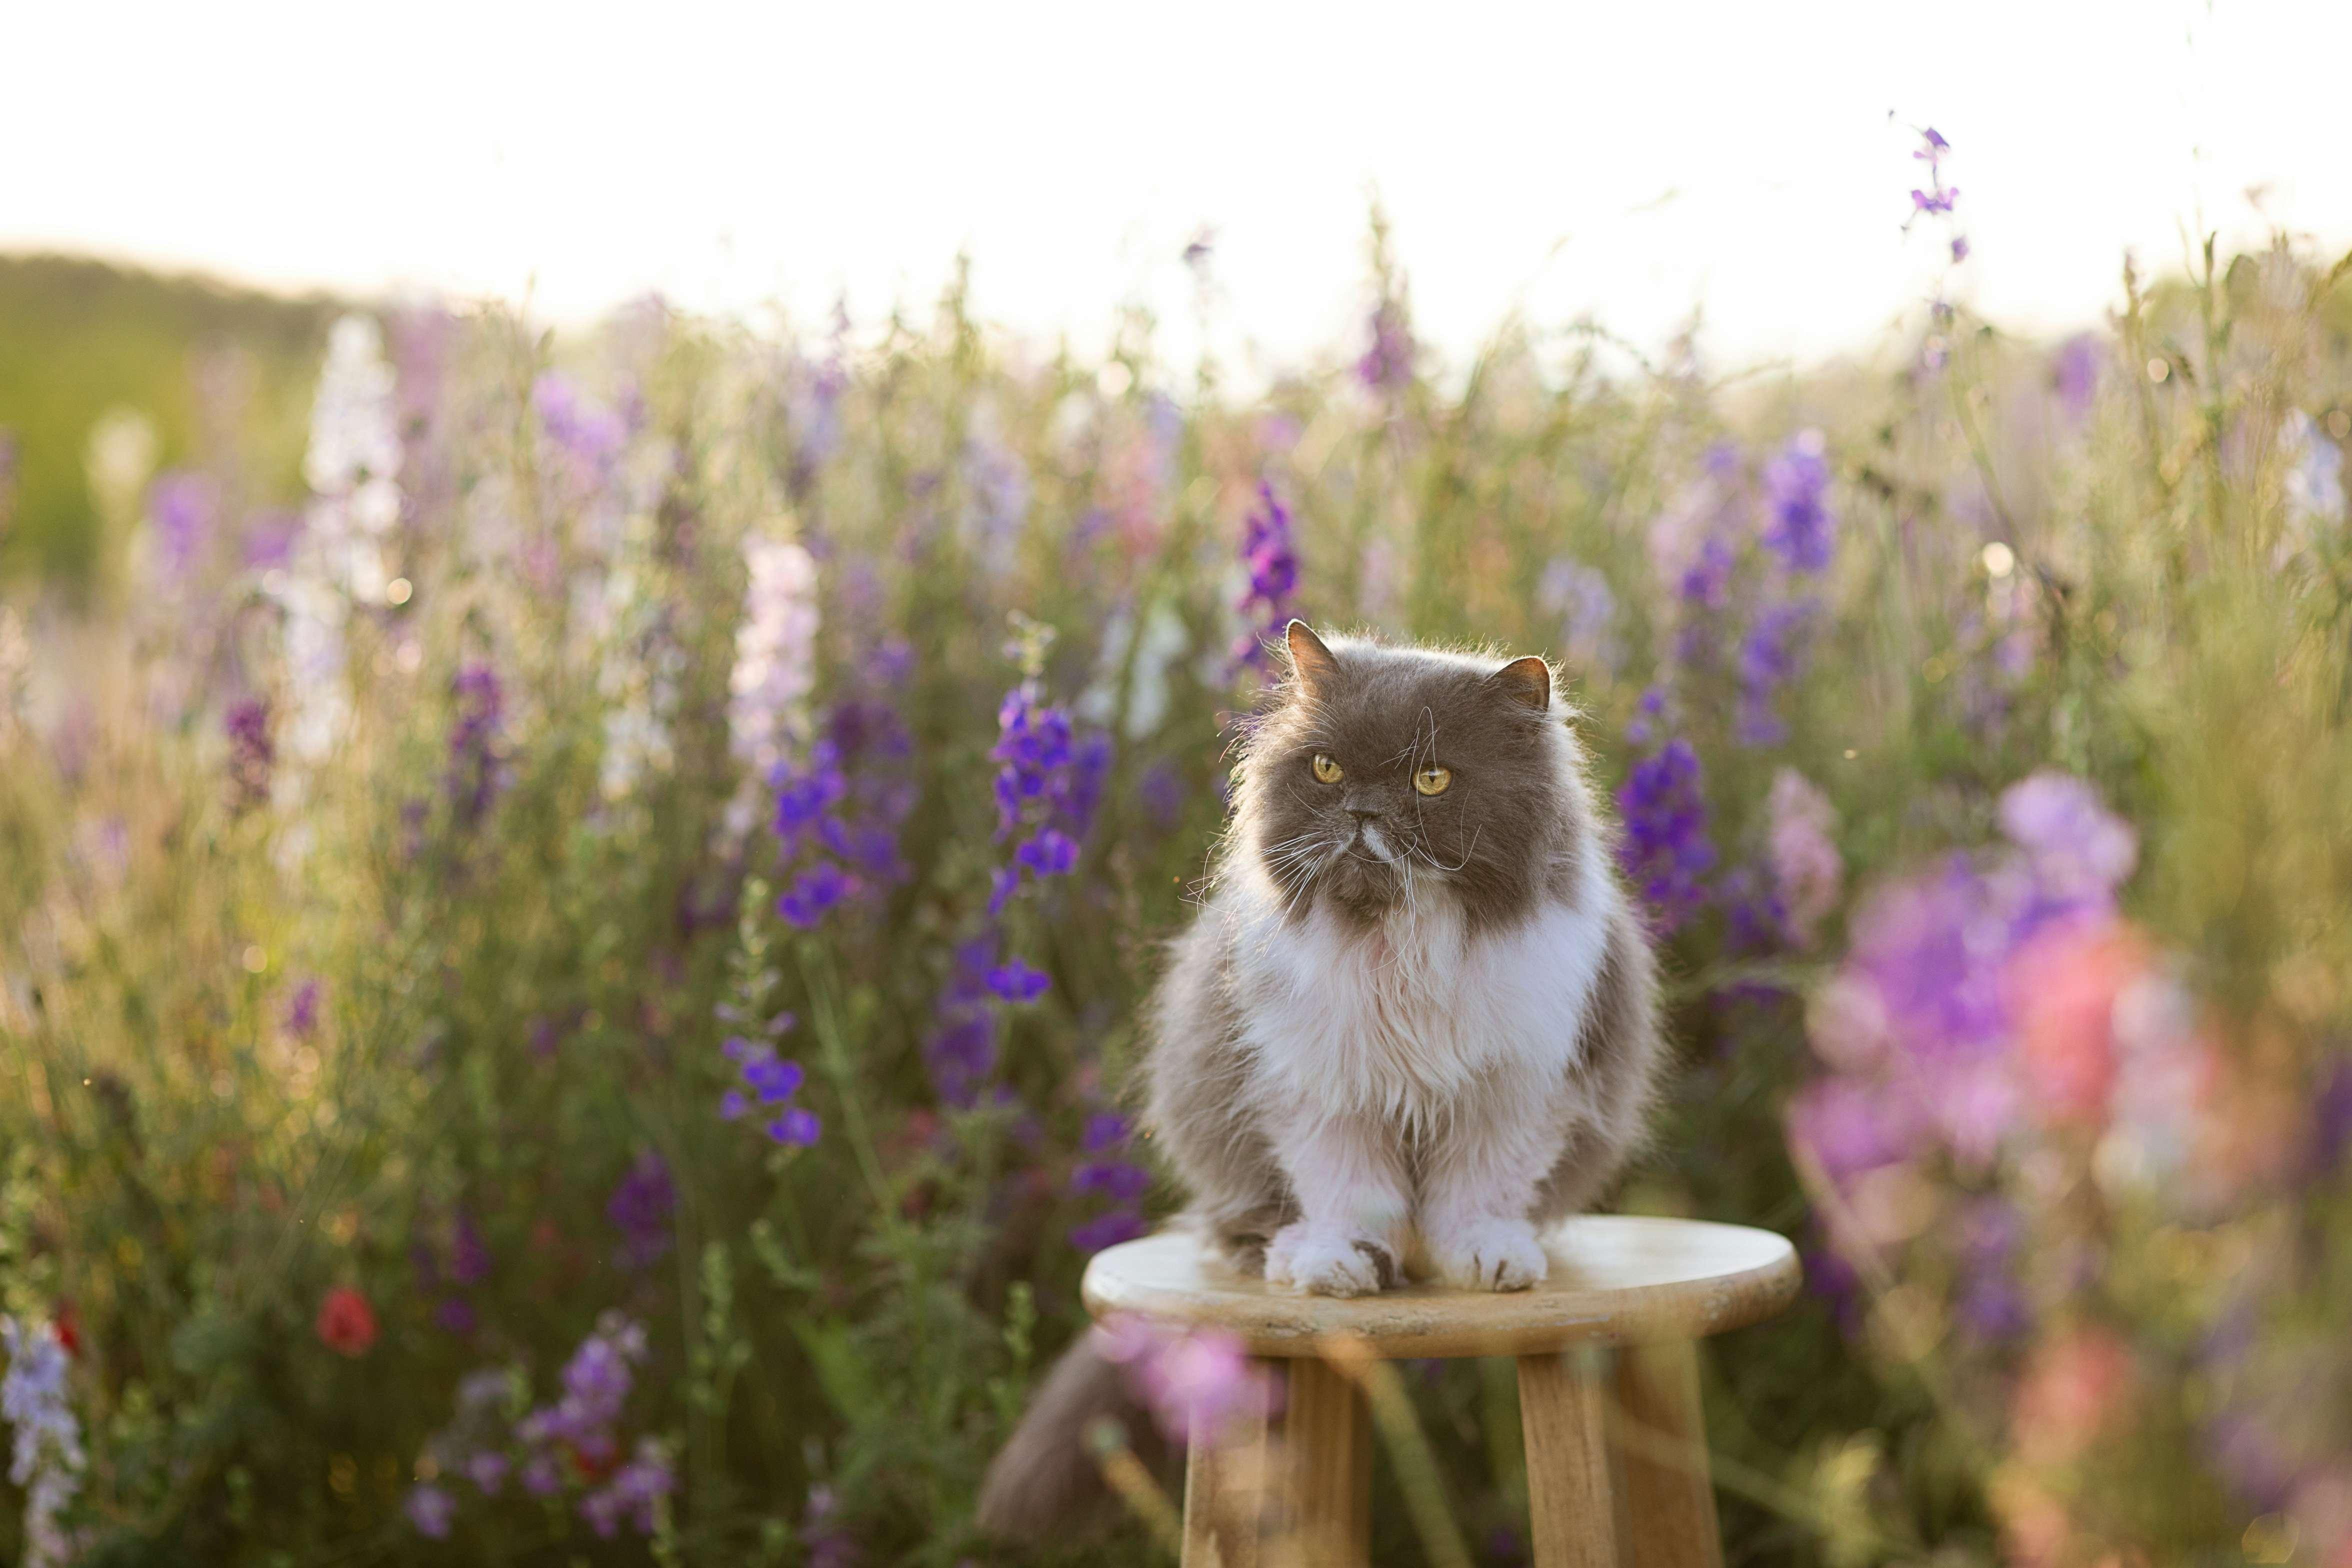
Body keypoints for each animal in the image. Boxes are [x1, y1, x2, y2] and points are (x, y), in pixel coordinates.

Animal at [983, 620, 1665, 1542]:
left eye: (1430, 778)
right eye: (1328, 770)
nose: (1363, 810)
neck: (1397, 940)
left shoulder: (1516, 1091)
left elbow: (1476, 1191)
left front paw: (1483, 1259)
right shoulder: (1315, 1093)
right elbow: (1349, 1192)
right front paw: (1345, 1267)